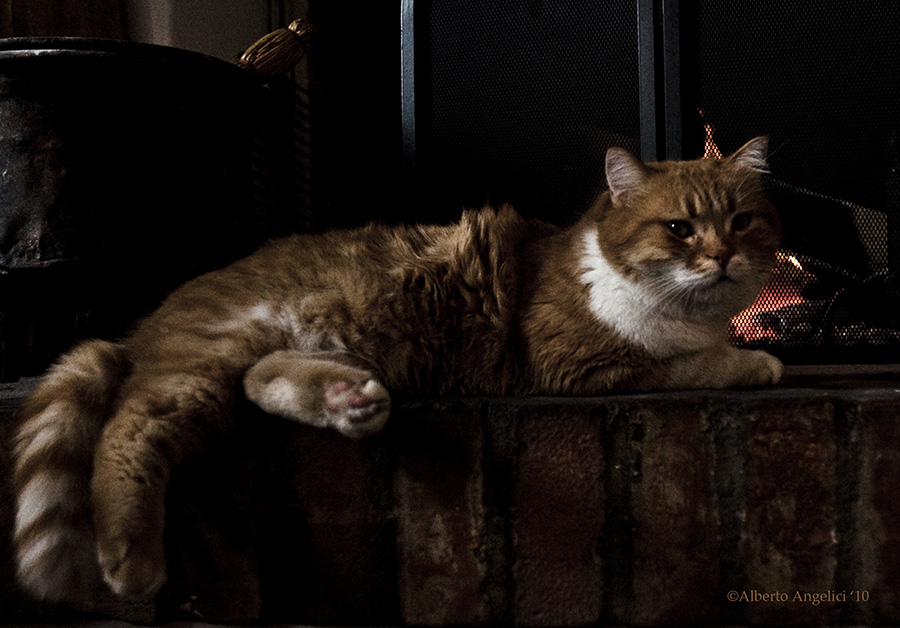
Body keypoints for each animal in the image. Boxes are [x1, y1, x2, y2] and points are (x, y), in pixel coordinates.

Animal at [8, 137, 780, 604]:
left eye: (742, 222)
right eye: (679, 230)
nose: (722, 257)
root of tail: (142, 326)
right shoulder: (579, 360)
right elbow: (689, 361)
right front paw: (757, 359)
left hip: (276, 354)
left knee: (258, 384)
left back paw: (348, 401)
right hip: (211, 356)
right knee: (132, 428)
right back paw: (129, 557)